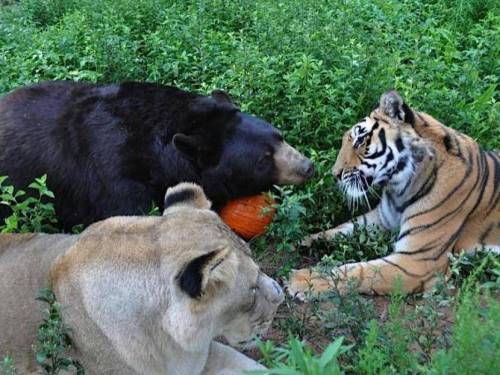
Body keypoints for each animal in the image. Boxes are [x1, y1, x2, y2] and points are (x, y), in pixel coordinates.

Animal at [288, 91, 498, 296]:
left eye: (360, 140)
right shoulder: (381, 219)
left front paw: (301, 280)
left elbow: (357, 272)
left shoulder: (417, 262)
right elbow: (339, 229)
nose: (335, 174)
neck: (399, 189)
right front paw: (299, 241)